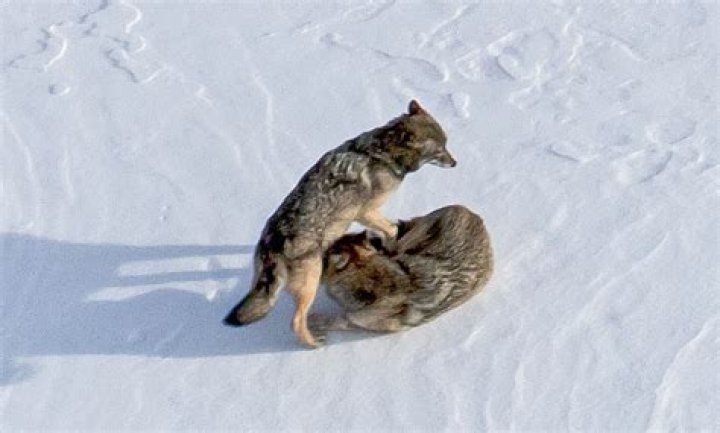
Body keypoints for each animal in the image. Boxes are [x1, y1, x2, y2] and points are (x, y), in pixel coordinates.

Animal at [224, 100, 456, 347]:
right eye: (439, 151)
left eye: (446, 145)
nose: (455, 163)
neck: (381, 152)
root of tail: (274, 244)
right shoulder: (366, 212)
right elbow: (390, 229)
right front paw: (393, 240)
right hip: (311, 284)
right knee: (296, 322)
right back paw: (314, 343)